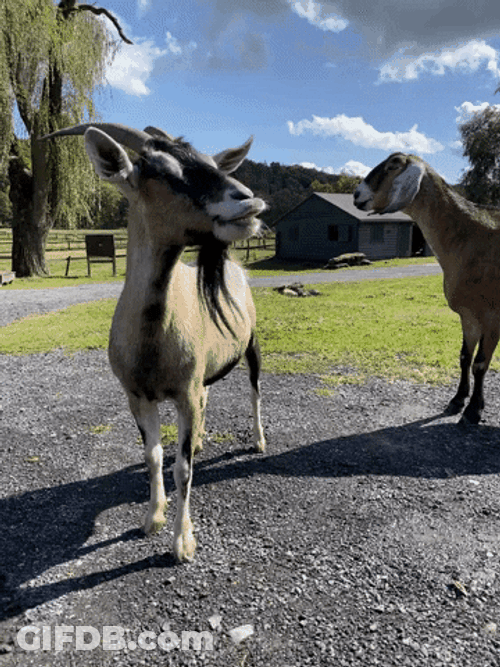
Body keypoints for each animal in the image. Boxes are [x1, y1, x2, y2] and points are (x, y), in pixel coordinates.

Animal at [43, 123, 267, 561]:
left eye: (214, 164)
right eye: (160, 171)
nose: (248, 201)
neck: (151, 340)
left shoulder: (185, 394)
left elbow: (182, 467)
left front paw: (183, 542)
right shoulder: (137, 395)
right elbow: (153, 456)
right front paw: (152, 519)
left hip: (251, 345)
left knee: (254, 389)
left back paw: (259, 441)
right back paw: (201, 442)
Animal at [354, 152, 500, 425]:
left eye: (393, 165)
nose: (357, 195)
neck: (472, 236)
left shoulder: (493, 316)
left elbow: (480, 364)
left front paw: (473, 410)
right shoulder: (469, 316)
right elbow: (465, 358)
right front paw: (457, 401)